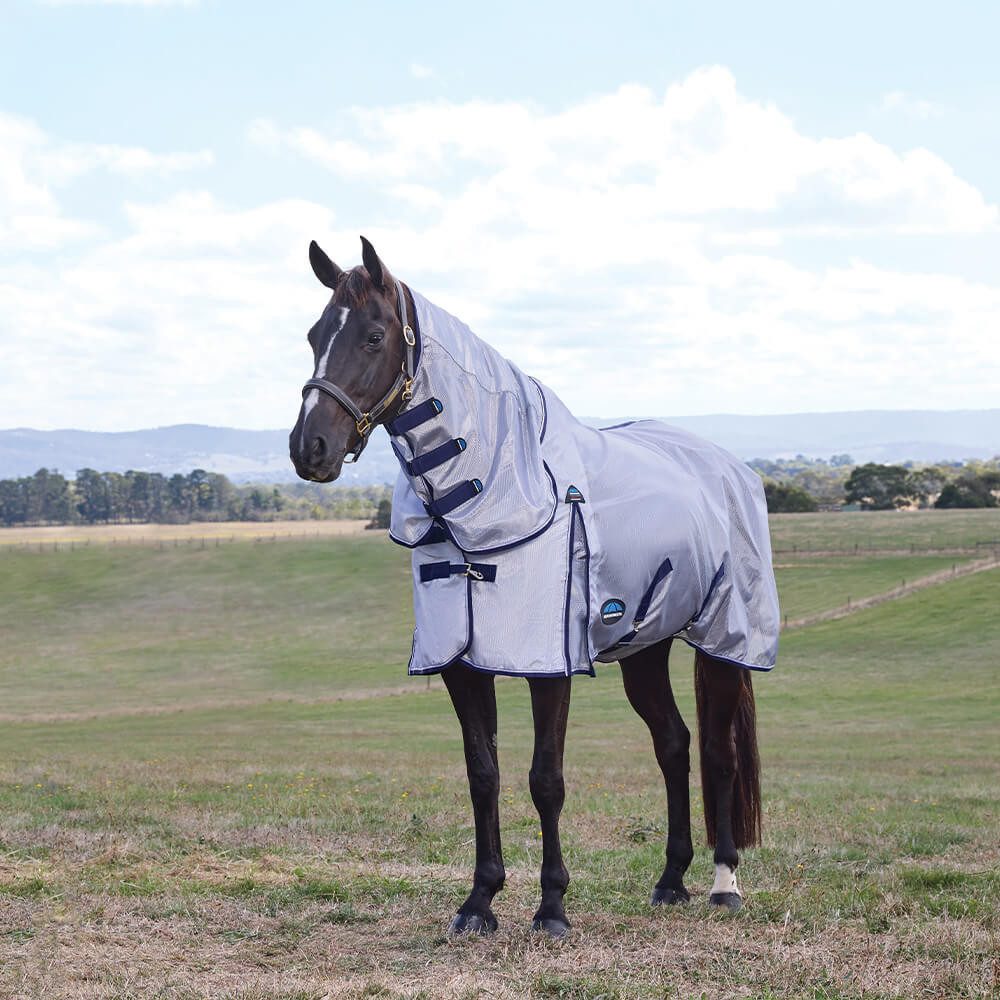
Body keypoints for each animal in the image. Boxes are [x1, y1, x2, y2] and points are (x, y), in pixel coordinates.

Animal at [289, 237, 779, 938]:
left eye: (374, 336)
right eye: (314, 335)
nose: (310, 449)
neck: (492, 492)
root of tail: (728, 467)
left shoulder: (550, 663)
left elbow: (546, 778)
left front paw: (551, 907)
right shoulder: (460, 661)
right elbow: (483, 774)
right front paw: (479, 901)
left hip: (723, 641)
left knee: (719, 751)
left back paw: (723, 883)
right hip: (644, 648)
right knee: (673, 745)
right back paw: (669, 880)